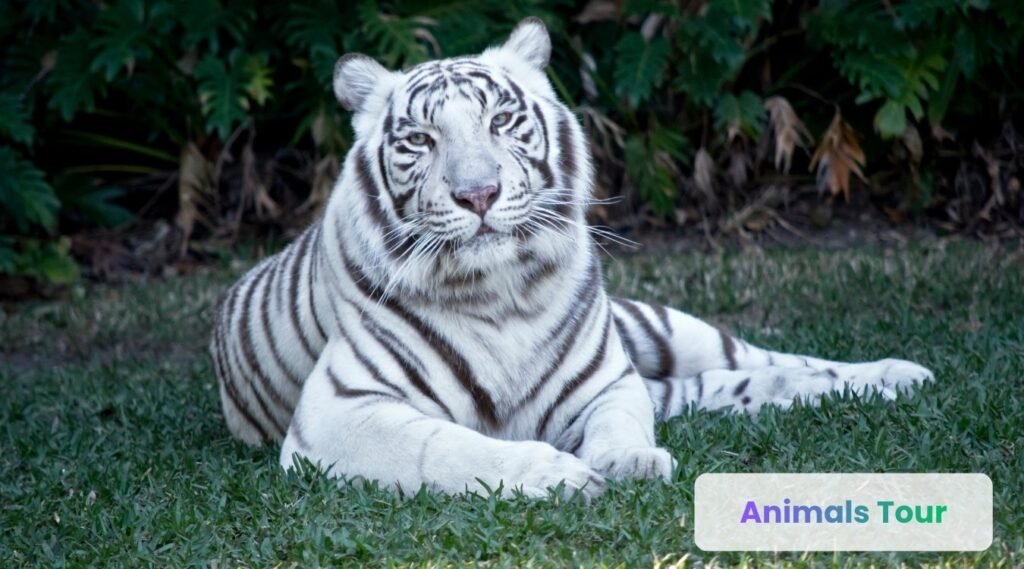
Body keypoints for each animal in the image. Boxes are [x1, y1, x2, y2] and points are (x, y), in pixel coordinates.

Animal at [209, 18, 934, 499]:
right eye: (421, 139)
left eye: (500, 121)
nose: (478, 193)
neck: (497, 291)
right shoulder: (339, 412)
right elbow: (447, 445)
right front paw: (555, 473)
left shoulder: (607, 380)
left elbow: (621, 423)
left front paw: (632, 461)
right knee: (729, 387)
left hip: (659, 329)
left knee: (767, 361)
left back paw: (898, 373)